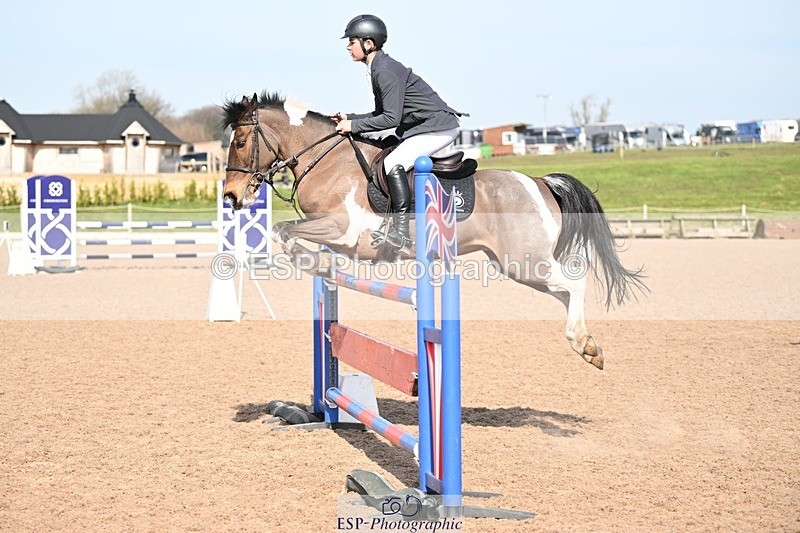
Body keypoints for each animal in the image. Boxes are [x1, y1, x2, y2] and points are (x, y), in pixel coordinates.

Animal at [221, 91, 646, 370]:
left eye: (240, 142)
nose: (231, 196)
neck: (327, 161)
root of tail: (540, 183)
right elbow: (286, 232)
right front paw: (320, 265)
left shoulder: (343, 230)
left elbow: (284, 231)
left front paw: (314, 263)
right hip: (522, 266)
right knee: (563, 292)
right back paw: (589, 345)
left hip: (524, 261)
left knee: (575, 282)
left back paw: (582, 343)